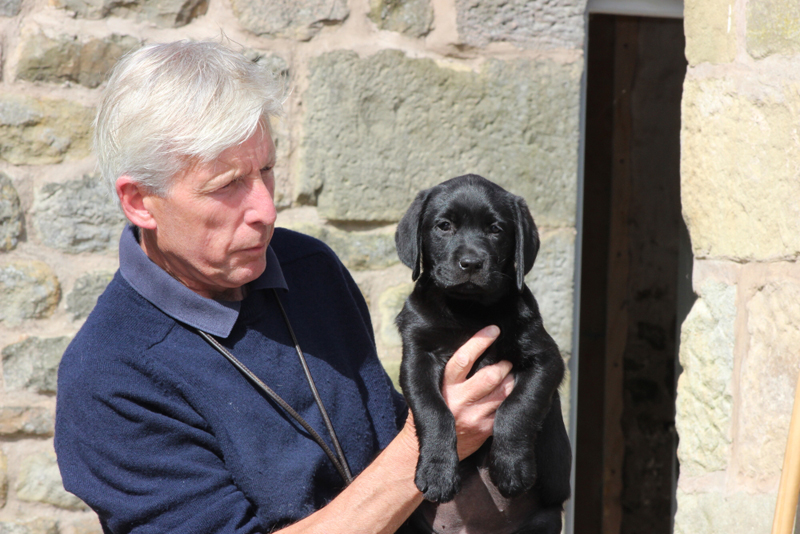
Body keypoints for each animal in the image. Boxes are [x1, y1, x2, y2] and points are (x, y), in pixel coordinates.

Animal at [394, 175, 568, 532]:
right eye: (444, 226)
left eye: (495, 229)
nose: (471, 263)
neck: (469, 309)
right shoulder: (417, 356)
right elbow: (433, 410)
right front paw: (437, 472)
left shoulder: (546, 359)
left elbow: (519, 407)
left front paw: (512, 467)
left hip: (545, 518)